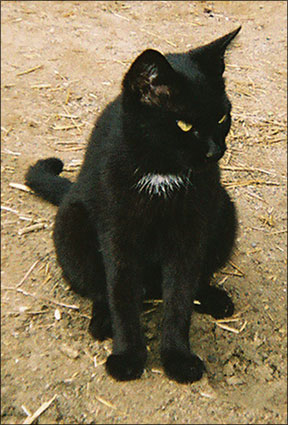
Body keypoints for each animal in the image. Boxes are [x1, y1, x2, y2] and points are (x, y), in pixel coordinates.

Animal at [24, 27, 241, 384]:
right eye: (184, 125)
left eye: (223, 117)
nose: (215, 151)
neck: (161, 172)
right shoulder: (118, 233)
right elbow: (121, 293)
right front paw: (127, 356)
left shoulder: (189, 231)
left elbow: (180, 296)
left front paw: (178, 358)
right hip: (72, 223)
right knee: (99, 288)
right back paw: (103, 322)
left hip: (224, 210)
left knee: (199, 277)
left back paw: (212, 298)